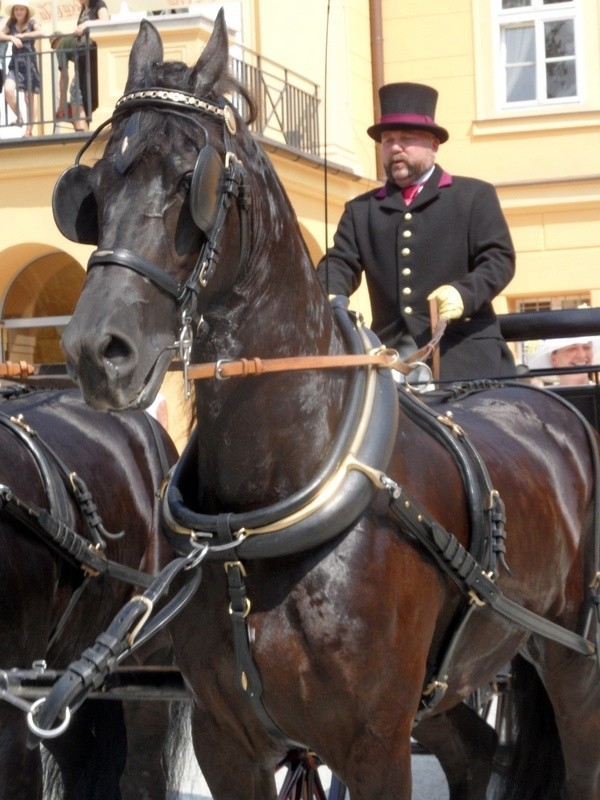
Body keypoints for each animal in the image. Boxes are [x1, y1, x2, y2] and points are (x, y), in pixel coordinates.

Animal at [52, 12, 600, 800]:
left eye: (194, 179)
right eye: (95, 187)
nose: (97, 349)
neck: (259, 514)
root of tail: (548, 407)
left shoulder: (374, 745)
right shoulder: (229, 744)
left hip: (570, 654)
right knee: (475, 754)